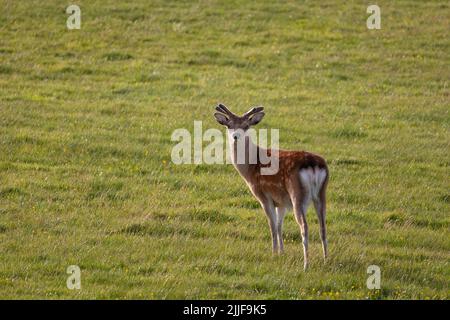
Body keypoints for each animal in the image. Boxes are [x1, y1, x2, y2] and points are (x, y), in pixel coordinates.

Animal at [213, 104, 328, 268]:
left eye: (246, 126)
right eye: (229, 125)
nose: (236, 136)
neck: (250, 167)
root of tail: (312, 165)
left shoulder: (263, 195)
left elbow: (272, 226)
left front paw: (273, 253)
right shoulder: (281, 201)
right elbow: (280, 226)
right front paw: (282, 252)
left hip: (297, 194)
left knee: (304, 226)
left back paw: (306, 264)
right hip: (321, 192)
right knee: (323, 226)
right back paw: (326, 259)